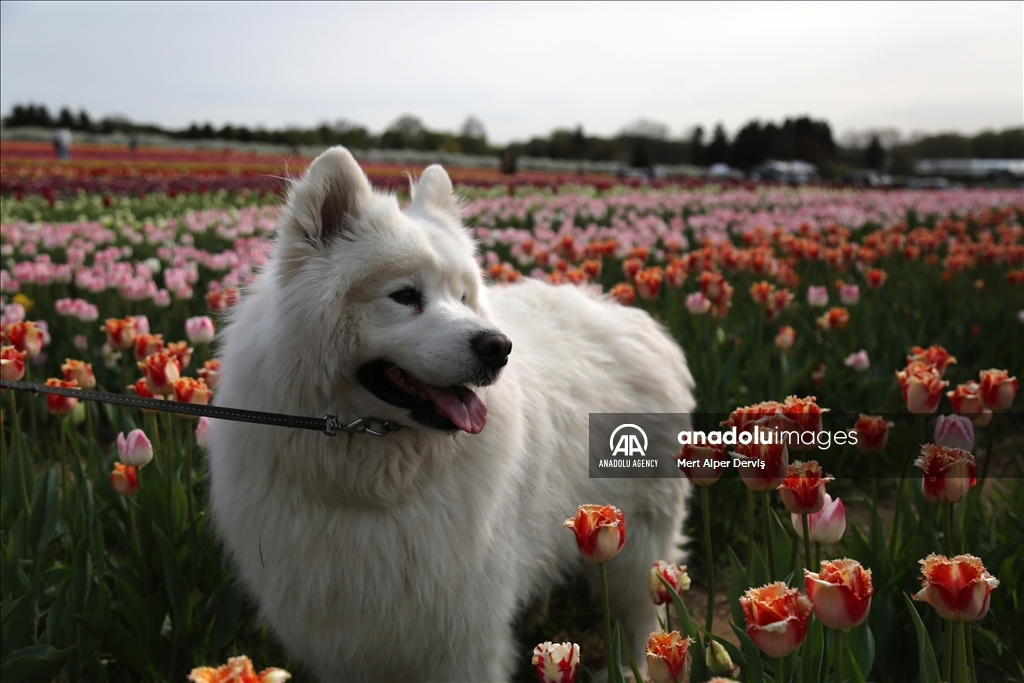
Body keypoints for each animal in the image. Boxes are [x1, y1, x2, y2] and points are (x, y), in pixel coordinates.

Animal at [211, 147, 700, 679]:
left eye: (463, 296)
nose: (499, 347)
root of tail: (637, 319)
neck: (370, 478)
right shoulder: (338, 628)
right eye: (405, 295)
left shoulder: (461, 633)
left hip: (639, 542)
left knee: (644, 615)